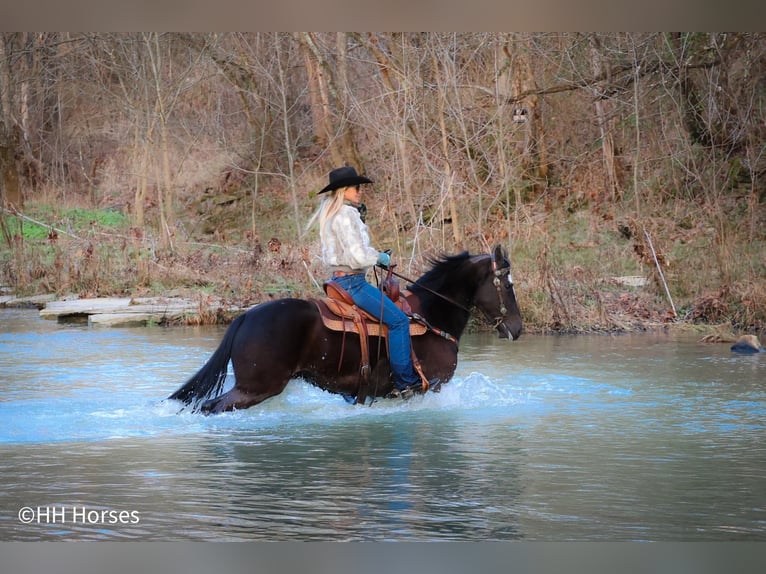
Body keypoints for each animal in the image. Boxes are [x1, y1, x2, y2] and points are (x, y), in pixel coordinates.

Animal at [168, 244, 522, 413]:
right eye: (506, 283)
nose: (517, 328)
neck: (430, 316)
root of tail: (245, 317)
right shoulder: (430, 386)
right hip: (255, 388)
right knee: (212, 407)